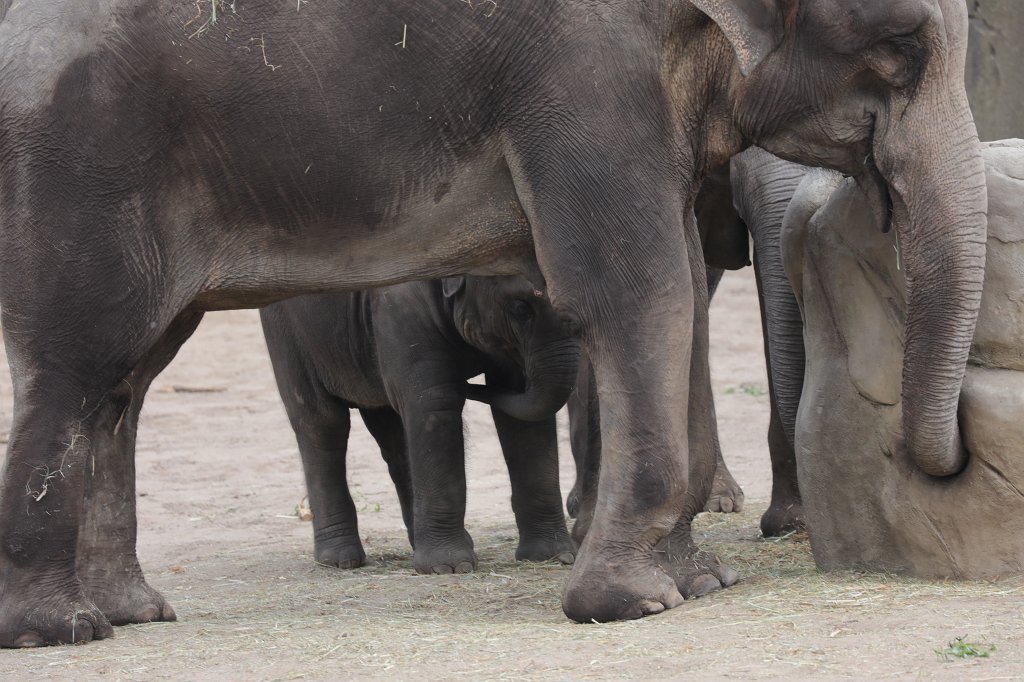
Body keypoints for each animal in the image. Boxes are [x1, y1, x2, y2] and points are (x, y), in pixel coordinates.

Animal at [259, 275, 578, 574]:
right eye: (521, 308)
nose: (468, 383)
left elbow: (522, 408)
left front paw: (555, 557)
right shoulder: (399, 305)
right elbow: (434, 402)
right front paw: (449, 568)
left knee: (393, 435)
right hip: (287, 333)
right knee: (322, 424)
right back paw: (340, 561)